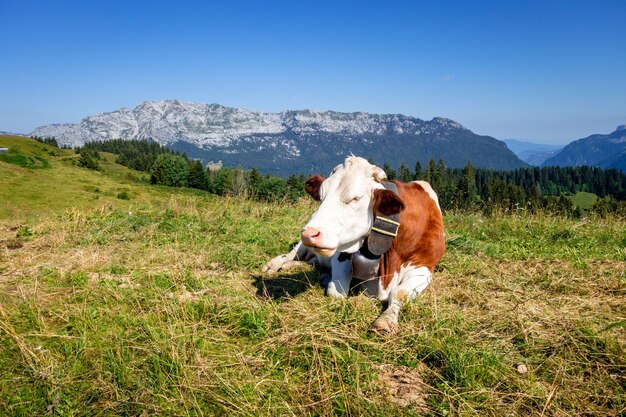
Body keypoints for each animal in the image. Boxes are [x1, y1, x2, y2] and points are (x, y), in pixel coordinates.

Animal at [264, 155, 444, 332]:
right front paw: (328, 281)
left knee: (311, 262)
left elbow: (400, 292)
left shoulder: (424, 266)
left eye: (356, 198)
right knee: (293, 254)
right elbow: (337, 291)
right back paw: (275, 265)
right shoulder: (341, 255)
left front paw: (386, 320)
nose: (309, 234)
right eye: (321, 197)